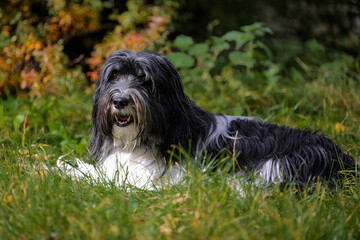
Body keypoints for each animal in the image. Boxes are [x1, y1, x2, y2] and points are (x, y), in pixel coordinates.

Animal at [56, 50, 354, 189]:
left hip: (278, 166)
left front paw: (62, 169)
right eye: (114, 76)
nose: (119, 101)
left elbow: (103, 176)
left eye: (144, 80)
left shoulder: (154, 178)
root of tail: (342, 158)